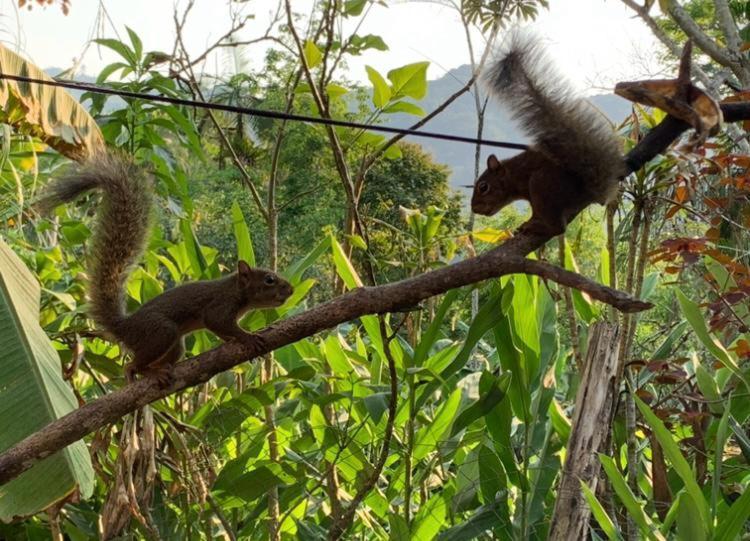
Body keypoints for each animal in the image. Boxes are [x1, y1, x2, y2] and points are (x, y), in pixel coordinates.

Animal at [37, 152, 294, 384]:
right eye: (269, 279)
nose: (291, 290)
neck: (237, 291)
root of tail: (125, 327)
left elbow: (222, 332)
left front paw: (234, 340)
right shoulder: (220, 305)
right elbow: (218, 322)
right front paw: (248, 337)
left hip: (175, 345)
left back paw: (160, 369)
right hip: (161, 332)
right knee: (134, 364)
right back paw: (143, 372)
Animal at [472, 33, 624, 236]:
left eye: (484, 187)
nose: (474, 208)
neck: (513, 172)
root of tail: (588, 191)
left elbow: (537, 213)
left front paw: (530, 222)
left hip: (541, 184)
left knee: (558, 227)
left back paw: (535, 227)